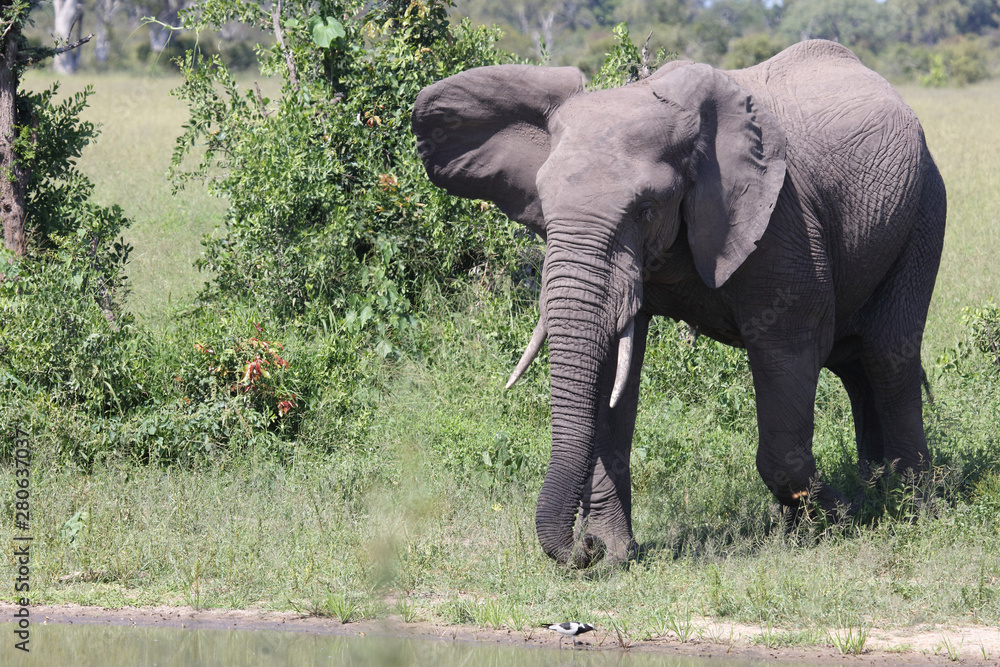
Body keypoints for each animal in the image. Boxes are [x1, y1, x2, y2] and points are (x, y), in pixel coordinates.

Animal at [411, 40, 946, 568]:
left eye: (645, 209)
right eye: (542, 207)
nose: (581, 550)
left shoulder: (783, 222)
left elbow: (788, 351)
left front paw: (837, 518)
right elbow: (611, 373)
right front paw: (615, 555)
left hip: (924, 207)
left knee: (887, 354)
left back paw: (906, 508)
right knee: (855, 363)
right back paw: (877, 491)